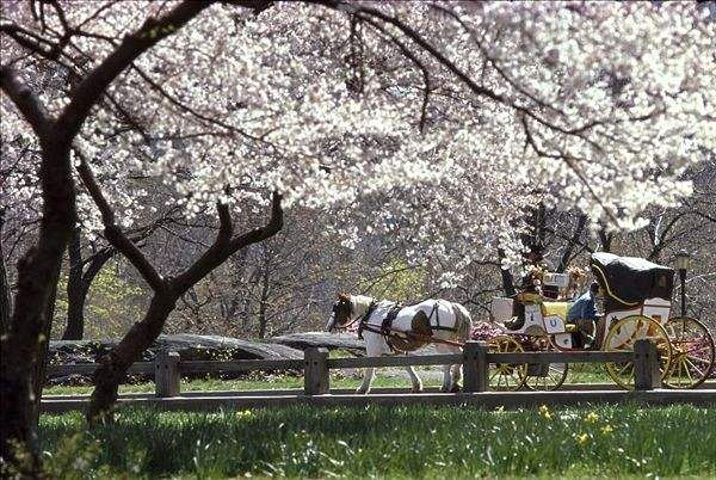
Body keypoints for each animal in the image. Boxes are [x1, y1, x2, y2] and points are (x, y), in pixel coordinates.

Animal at [328, 292, 472, 394]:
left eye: (336, 308)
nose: (328, 326)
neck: (371, 313)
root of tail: (451, 306)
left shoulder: (373, 348)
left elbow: (369, 368)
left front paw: (363, 388)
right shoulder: (397, 349)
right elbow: (406, 365)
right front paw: (416, 385)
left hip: (441, 342)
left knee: (448, 360)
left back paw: (448, 384)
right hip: (449, 341)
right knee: (458, 355)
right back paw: (454, 382)